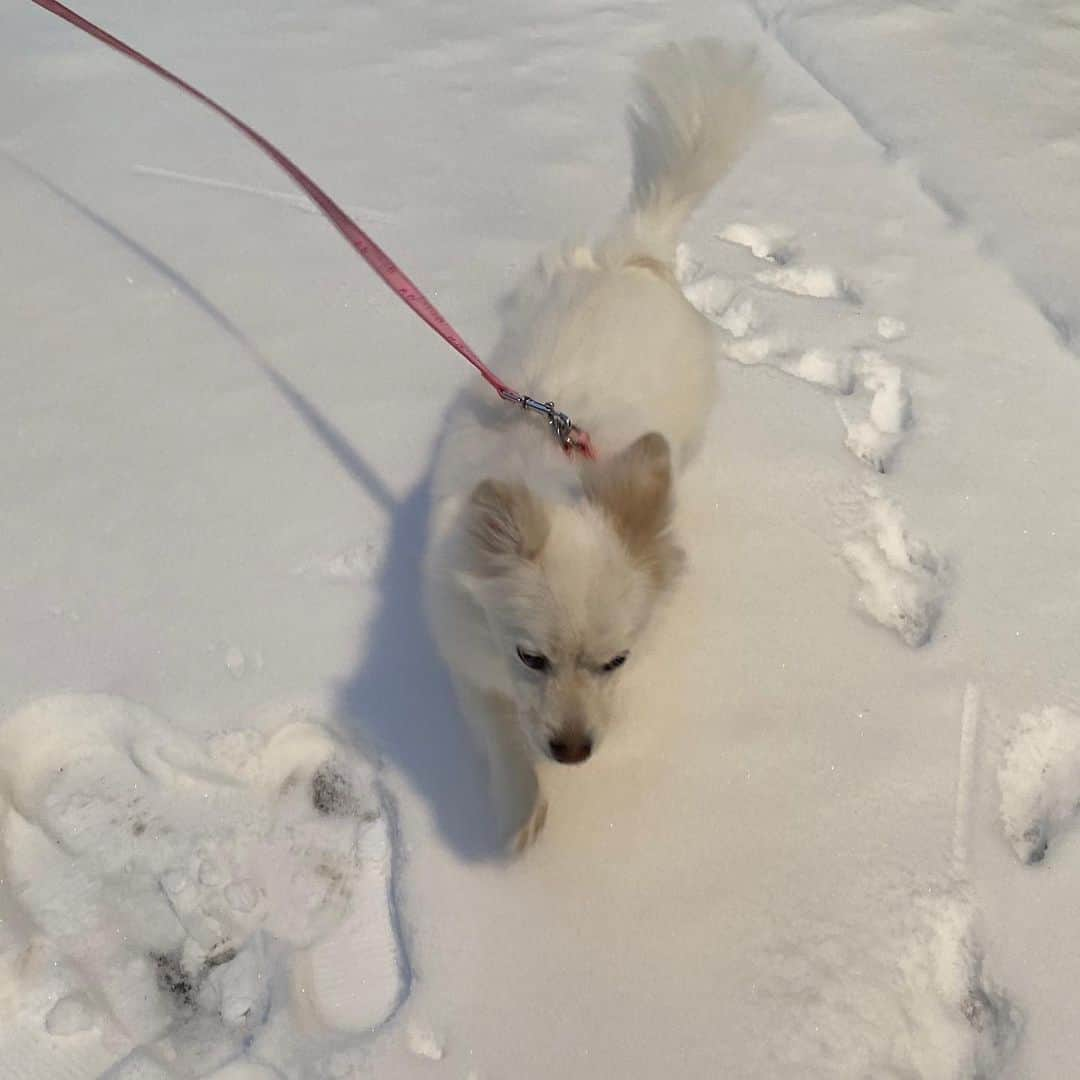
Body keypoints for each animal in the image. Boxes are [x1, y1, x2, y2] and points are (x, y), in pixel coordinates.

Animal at [421, 39, 760, 851]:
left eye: (616, 661)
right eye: (530, 656)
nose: (574, 751)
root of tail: (639, 254)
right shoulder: (470, 660)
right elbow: (501, 734)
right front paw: (519, 810)